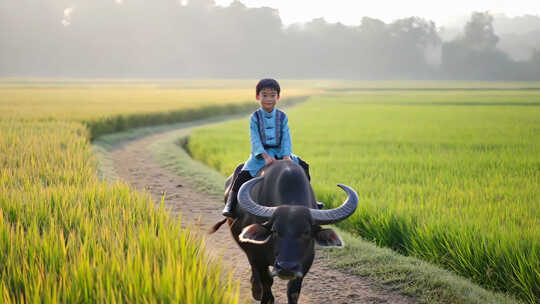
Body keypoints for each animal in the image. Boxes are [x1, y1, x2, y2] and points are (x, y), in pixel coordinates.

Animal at [215, 160, 358, 302]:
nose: (286, 268)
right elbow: (267, 285)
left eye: (306, 232)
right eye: (274, 230)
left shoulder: (305, 262)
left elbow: (293, 291)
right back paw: (256, 290)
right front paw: (261, 293)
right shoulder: (257, 256)